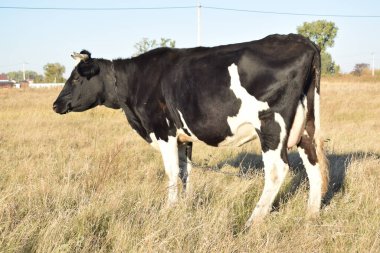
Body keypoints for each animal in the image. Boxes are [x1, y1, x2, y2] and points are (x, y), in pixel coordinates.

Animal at [53, 33, 330, 227]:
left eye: (76, 78)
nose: (56, 104)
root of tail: (302, 41)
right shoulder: (183, 138)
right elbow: (186, 172)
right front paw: (185, 206)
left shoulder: (163, 130)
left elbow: (172, 171)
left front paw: (169, 208)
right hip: (306, 125)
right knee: (314, 164)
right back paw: (310, 215)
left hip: (271, 126)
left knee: (276, 170)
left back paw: (253, 221)